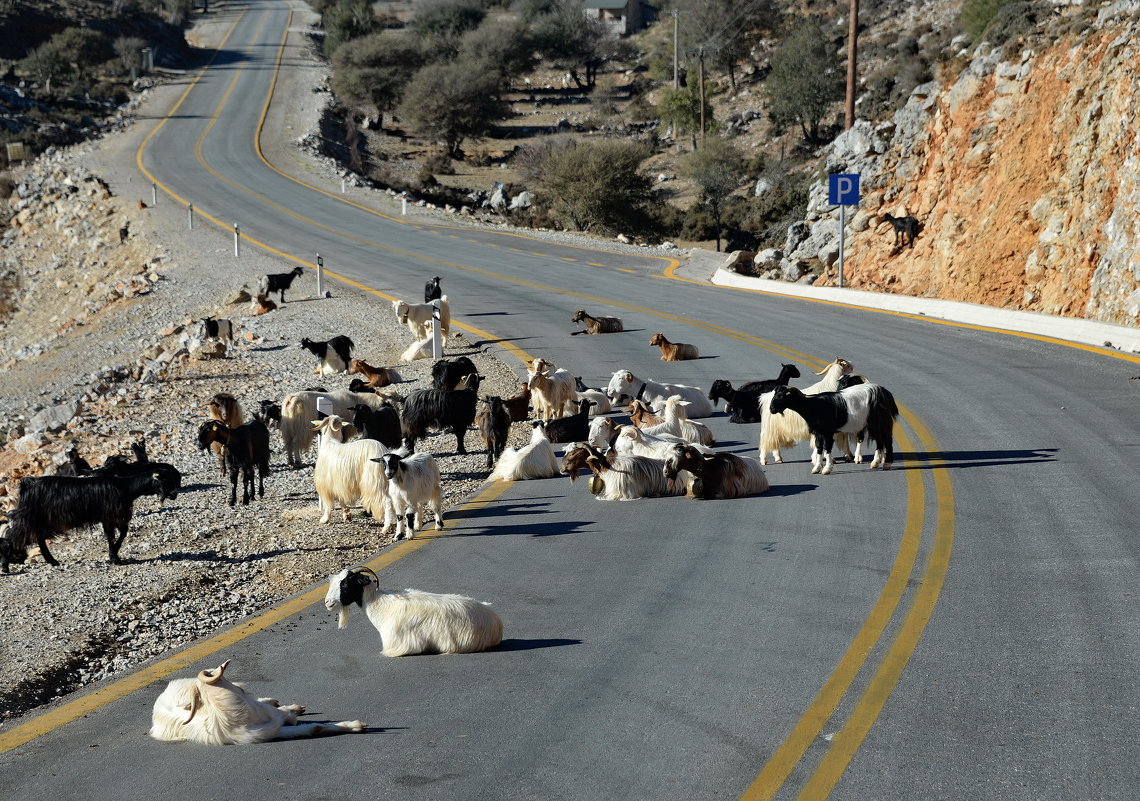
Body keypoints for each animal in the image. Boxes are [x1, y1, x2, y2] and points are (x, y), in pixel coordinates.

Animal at [0, 473, 177, 574]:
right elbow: (112, 536)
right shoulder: (110, 516)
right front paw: (115, 557)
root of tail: (27, 484)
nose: (174, 495)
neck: (126, 488)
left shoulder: (113, 518)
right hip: (32, 517)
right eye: (165, 481)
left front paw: (114, 555)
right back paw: (6, 565)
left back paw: (53, 561)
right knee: (14, 536)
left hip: (40, 519)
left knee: (38, 538)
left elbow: (121, 533)